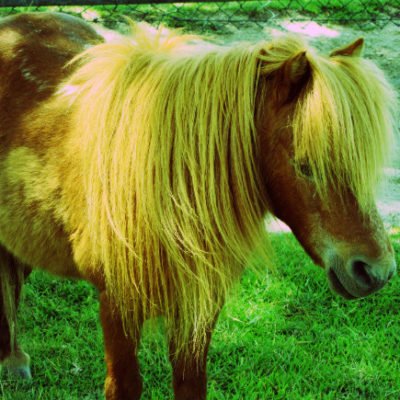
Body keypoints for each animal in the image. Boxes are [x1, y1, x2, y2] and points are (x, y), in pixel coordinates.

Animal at [0, 10, 396, 398]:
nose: (376, 272)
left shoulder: (199, 304)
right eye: (305, 165)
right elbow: (124, 386)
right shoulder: (117, 305)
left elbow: (190, 384)